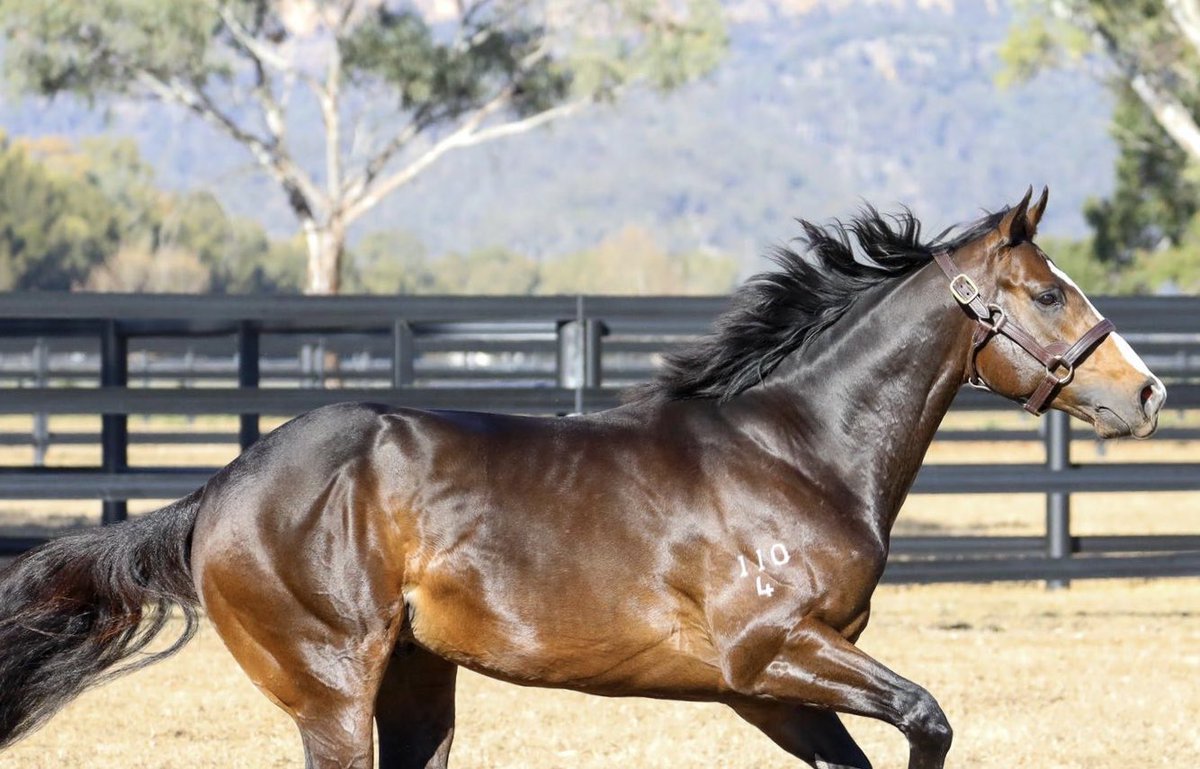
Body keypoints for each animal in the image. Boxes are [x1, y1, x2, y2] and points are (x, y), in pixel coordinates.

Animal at [0, 188, 1165, 769]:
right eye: (1050, 293)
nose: (1147, 391)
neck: (797, 451)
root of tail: (222, 490)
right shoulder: (773, 654)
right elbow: (928, 717)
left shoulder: (768, 690)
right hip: (331, 689)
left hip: (417, 683)